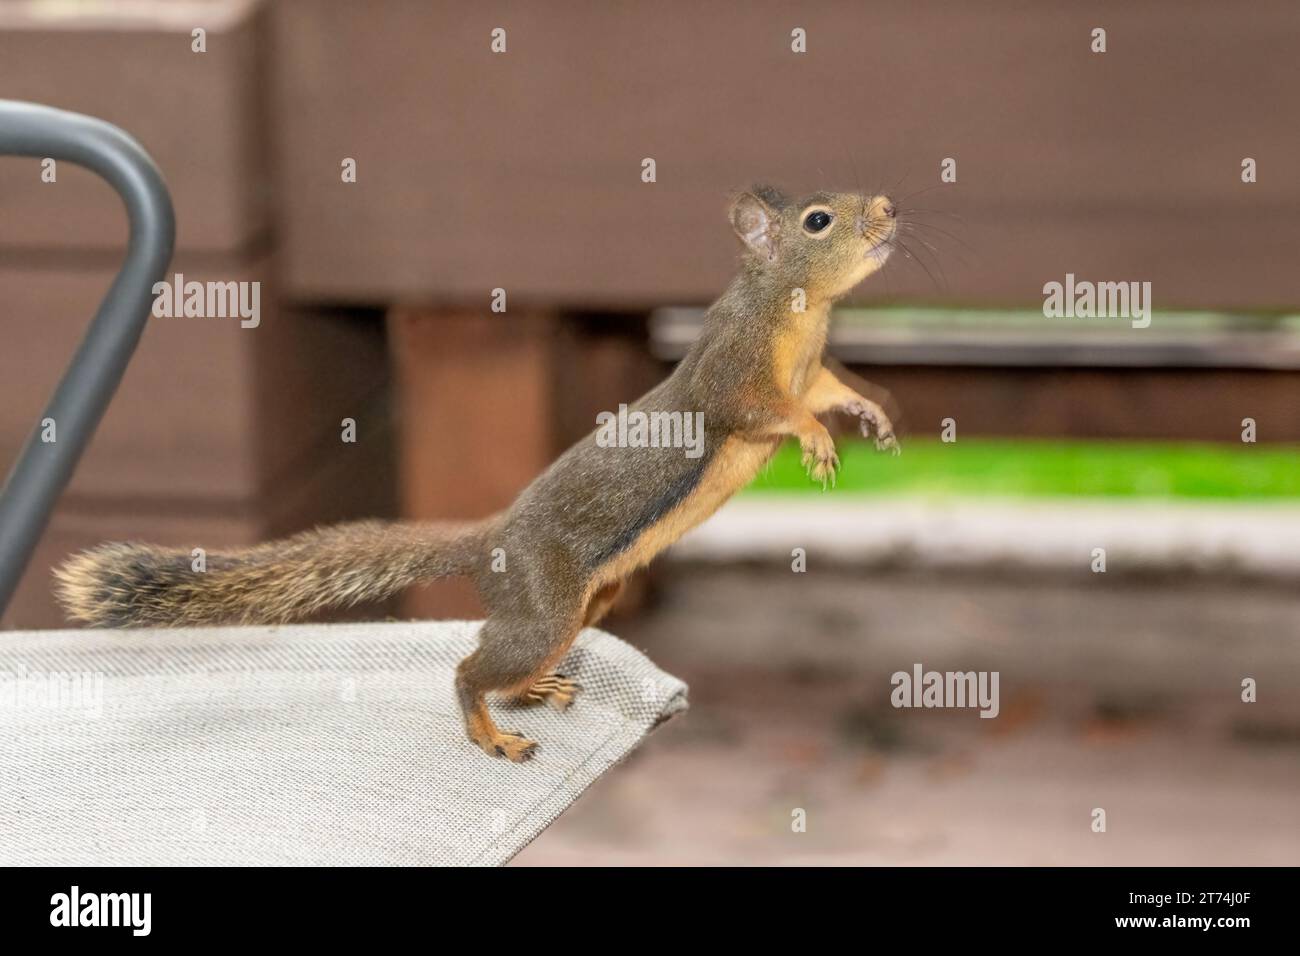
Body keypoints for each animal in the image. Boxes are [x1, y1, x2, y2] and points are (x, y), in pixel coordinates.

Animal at [53, 184, 904, 764]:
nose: (891, 209)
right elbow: (763, 412)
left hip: (590, 600)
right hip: (546, 607)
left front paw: (870, 412)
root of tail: (493, 541)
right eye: (819, 220)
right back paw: (491, 730)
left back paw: (529, 693)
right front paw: (816, 441)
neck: (798, 310)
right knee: (471, 664)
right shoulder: (733, 376)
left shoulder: (810, 371)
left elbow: (829, 391)